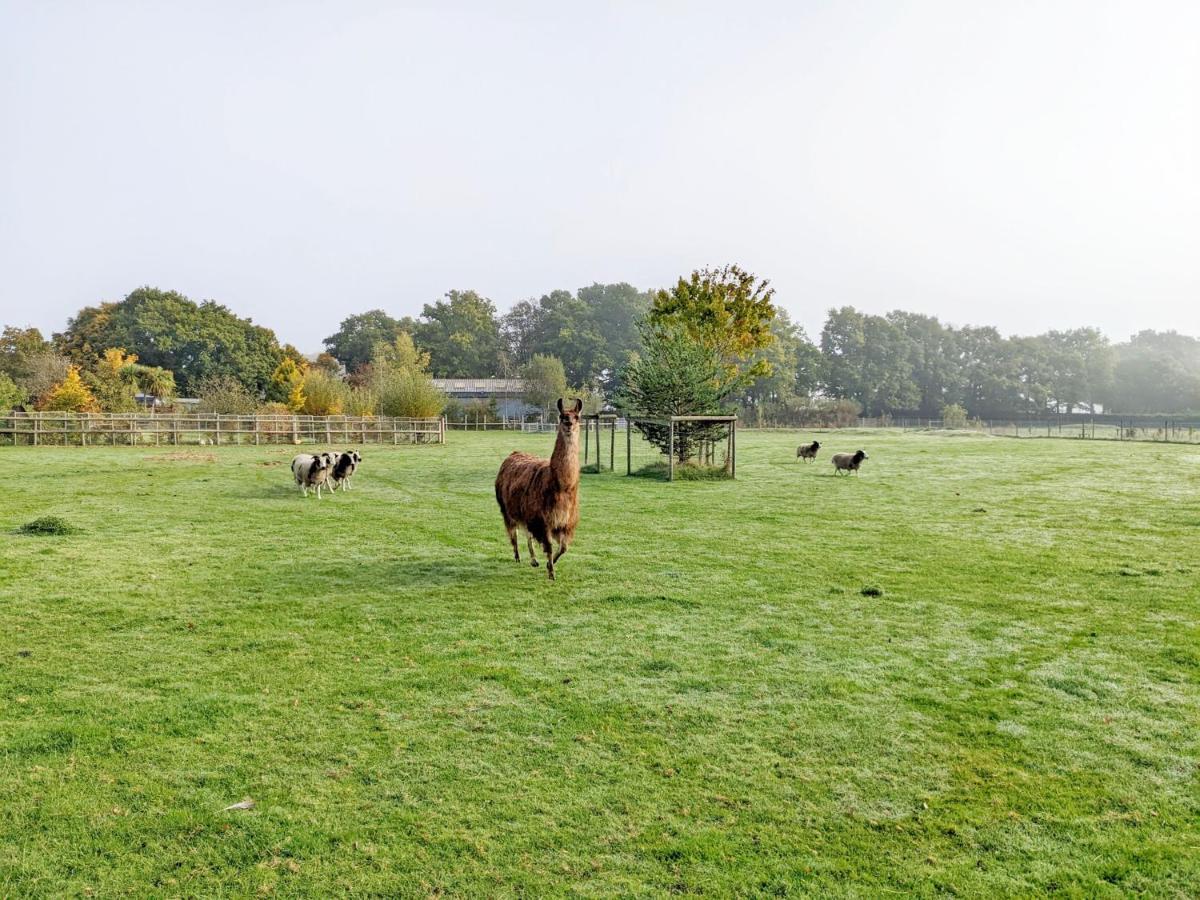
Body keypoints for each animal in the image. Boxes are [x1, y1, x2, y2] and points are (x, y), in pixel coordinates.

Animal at [494, 398, 583, 580]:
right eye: (562, 416)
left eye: (576, 416)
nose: (568, 423)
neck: (561, 487)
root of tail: (513, 454)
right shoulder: (543, 519)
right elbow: (548, 545)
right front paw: (551, 573)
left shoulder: (566, 522)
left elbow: (563, 548)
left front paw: (551, 563)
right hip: (507, 508)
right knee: (513, 532)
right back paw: (518, 557)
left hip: (525, 511)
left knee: (527, 533)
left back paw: (534, 560)